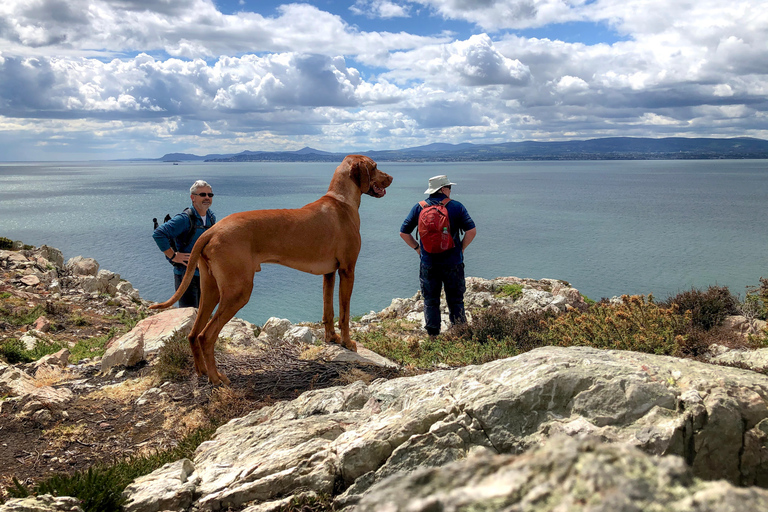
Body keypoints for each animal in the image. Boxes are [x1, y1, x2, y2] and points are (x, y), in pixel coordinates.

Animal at [149, 156, 392, 384]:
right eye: (375, 166)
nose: (390, 177)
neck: (341, 201)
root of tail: (211, 231)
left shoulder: (329, 273)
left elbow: (328, 311)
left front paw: (332, 338)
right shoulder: (348, 270)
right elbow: (344, 313)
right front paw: (348, 343)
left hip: (210, 289)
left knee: (192, 334)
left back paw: (201, 372)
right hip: (238, 291)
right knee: (205, 336)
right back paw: (217, 378)